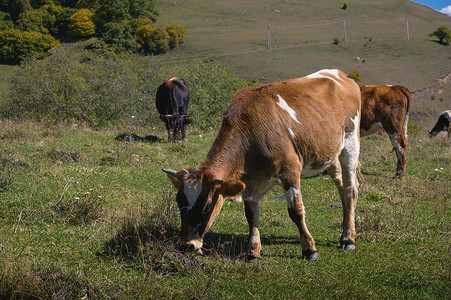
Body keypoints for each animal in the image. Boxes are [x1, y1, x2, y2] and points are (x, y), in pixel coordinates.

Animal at [164, 69, 362, 262]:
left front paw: (309, 249)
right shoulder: (249, 183)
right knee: (341, 188)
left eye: (206, 206)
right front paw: (253, 252)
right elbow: (251, 216)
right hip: (330, 154)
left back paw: (349, 239)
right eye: (179, 202)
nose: (188, 245)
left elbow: (296, 211)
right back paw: (345, 231)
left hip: (350, 144)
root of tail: (340, 75)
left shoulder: (290, 171)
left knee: (350, 189)